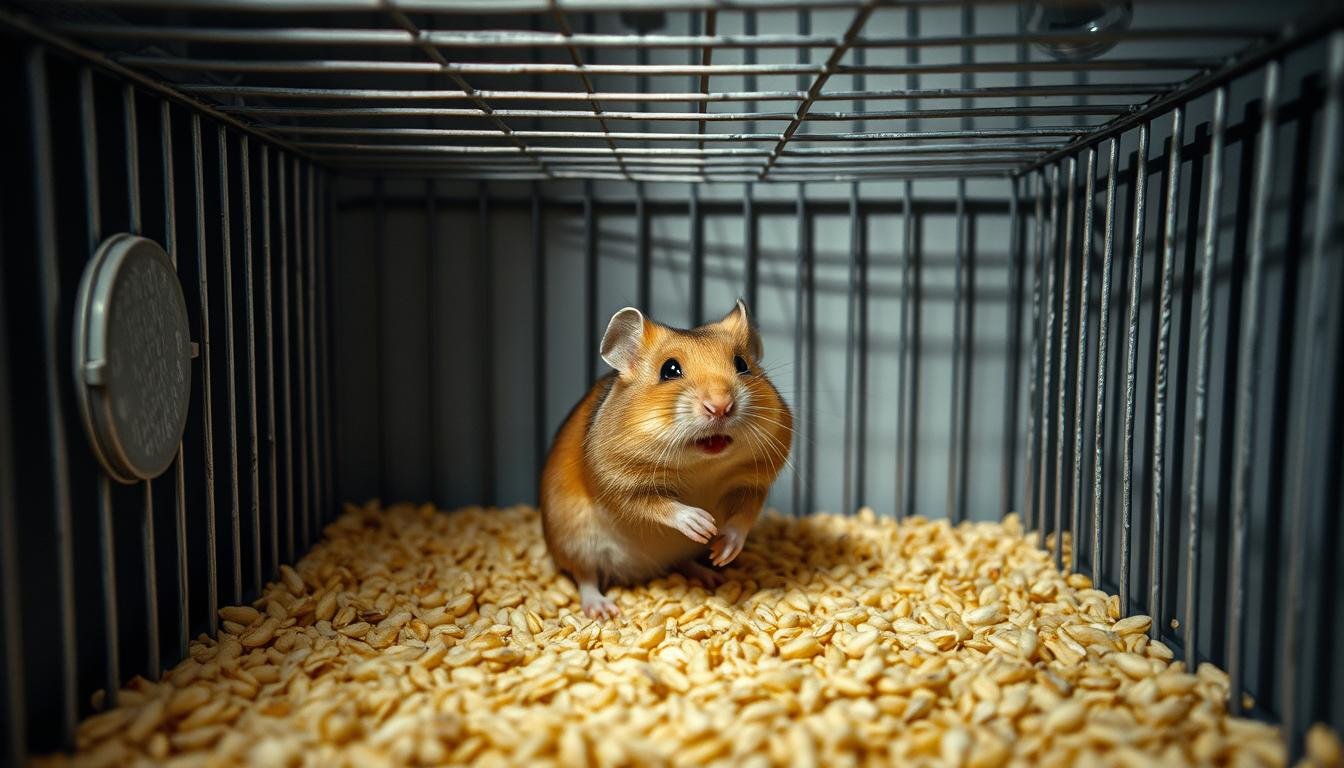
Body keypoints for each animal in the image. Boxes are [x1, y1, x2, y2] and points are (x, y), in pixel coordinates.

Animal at [540, 299, 790, 618]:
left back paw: (711, 574)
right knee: (586, 576)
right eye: (670, 370)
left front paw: (722, 550)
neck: (702, 467)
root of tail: (642, 569)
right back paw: (603, 609)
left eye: (742, 365)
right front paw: (702, 523)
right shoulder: (617, 486)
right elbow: (655, 505)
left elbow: (743, 517)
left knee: (680, 561)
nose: (720, 407)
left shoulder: (752, 482)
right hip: (575, 541)